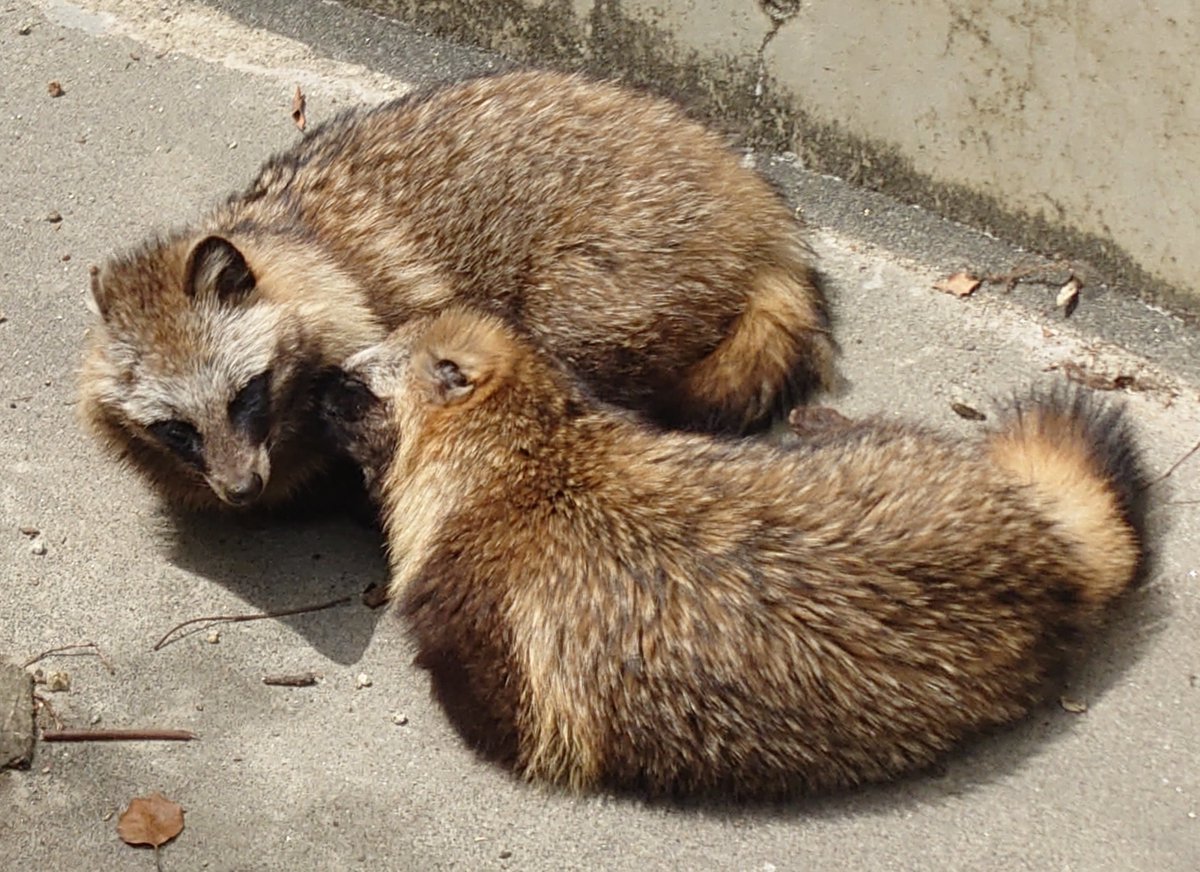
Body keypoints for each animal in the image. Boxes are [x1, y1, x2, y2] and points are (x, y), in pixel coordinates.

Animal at [77, 73, 835, 518]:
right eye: (176, 427)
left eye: (245, 396)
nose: (241, 491)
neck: (301, 240)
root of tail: (762, 215)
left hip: (624, 258)